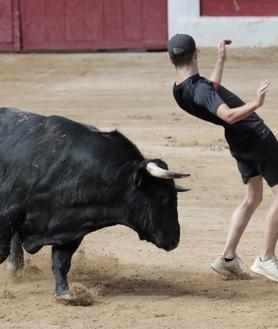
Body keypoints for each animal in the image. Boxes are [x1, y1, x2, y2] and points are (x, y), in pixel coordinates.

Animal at [0, 107, 189, 298]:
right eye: (163, 197)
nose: (174, 240)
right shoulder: (7, 216)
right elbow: (2, 251)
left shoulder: (73, 226)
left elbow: (61, 262)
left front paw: (65, 294)